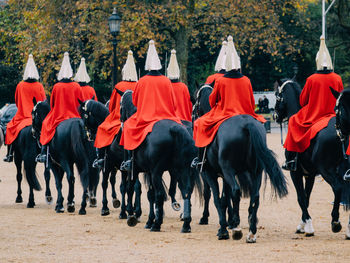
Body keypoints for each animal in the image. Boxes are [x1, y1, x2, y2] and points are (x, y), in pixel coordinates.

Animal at [120, 90, 202, 233]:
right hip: (184, 170)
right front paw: (149, 220)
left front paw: (132, 215)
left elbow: (132, 189)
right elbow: (150, 194)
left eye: (120, 106)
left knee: (159, 194)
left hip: (157, 172)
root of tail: (175, 129)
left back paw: (157, 224)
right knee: (186, 192)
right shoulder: (149, 172)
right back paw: (186, 224)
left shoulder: (137, 171)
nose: (121, 122)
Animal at [194, 84, 288, 243]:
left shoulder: (210, 174)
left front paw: (223, 228)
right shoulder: (224, 176)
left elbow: (217, 199)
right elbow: (225, 199)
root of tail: (247, 124)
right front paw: (229, 222)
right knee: (254, 196)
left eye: (195, 101)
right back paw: (251, 231)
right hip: (255, 172)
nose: (193, 115)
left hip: (229, 171)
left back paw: (237, 229)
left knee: (236, 191)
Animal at [274, 78, 348, 237]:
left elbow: (301, 198)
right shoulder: (310, 175)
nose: (275, 116)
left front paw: (307, 226)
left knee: (338, 187)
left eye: (277, 95)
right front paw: (303, 224)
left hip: (327, 170)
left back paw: (335, 222)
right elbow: (307, 198)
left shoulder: (295, 172)